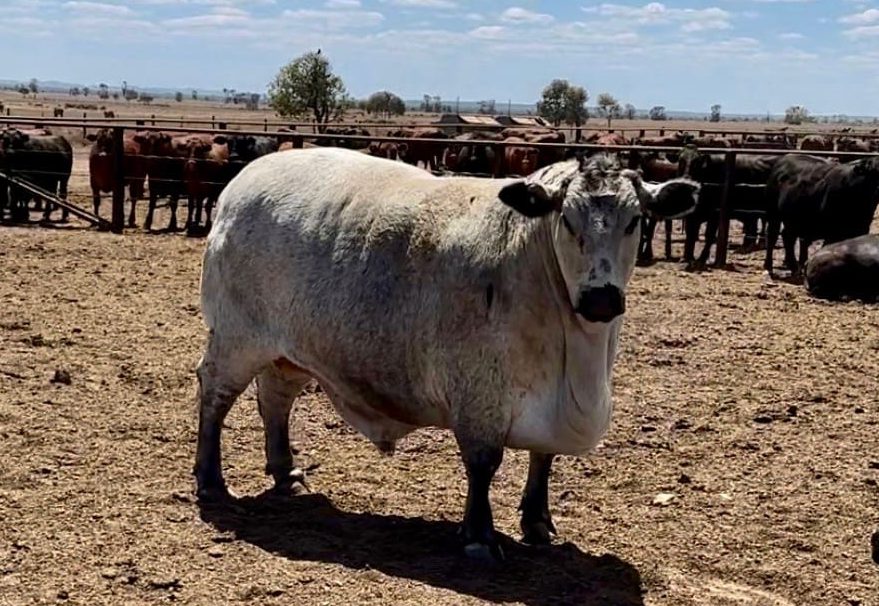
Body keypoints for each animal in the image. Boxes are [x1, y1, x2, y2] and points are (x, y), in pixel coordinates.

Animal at [194, 148, 700, 564]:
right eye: (568, 221)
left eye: (635, 220)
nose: (601, 298)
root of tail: (242, 183)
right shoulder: (479, 393)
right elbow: (483, 464)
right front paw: (479, 536)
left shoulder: (546, 402)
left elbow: (543, 458)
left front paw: (537, 520)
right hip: (237, 338)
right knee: (215, 397)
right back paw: (211, 478)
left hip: (290, 347)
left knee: (276, 399)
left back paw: (286, 470)